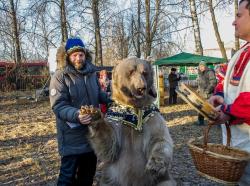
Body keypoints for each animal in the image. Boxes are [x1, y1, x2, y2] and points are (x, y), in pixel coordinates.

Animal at [89, 57, 175, 186]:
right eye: (130, 72)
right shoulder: (117, 118)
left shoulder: (150, 116)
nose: (141, 87)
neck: (134, 108)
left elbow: (160, 139)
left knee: (166, 182)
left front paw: (155, 164)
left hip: (159, 179)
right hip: (111, 178)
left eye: (145, 72)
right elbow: (110, 145)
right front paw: (93, 115)